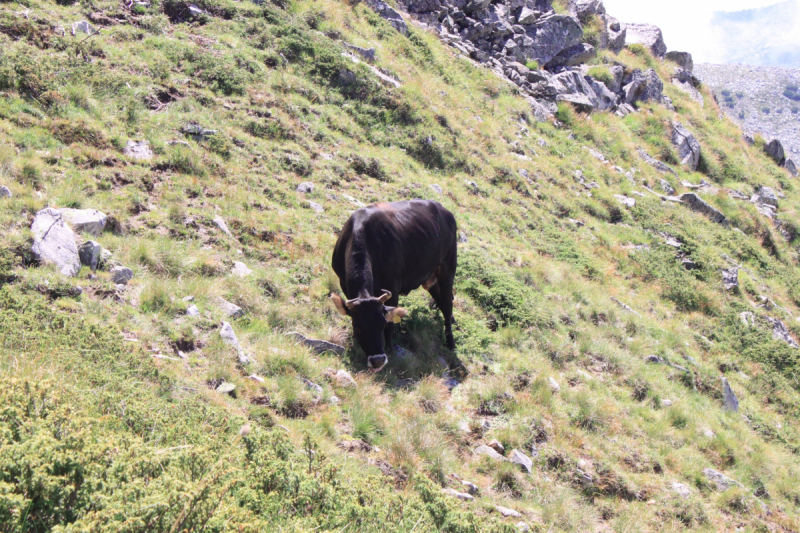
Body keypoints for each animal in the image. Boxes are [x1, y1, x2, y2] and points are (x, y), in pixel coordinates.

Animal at [330, 200, 456, 370]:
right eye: (358, 327)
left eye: (381, 324)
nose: (377, 360)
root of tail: (442, 208)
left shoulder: (393, 289)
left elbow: (392, 323)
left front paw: (390, 349)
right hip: (430, 278)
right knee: (442, 301)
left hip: (447, 268)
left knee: (447, 304)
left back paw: (451, 343)